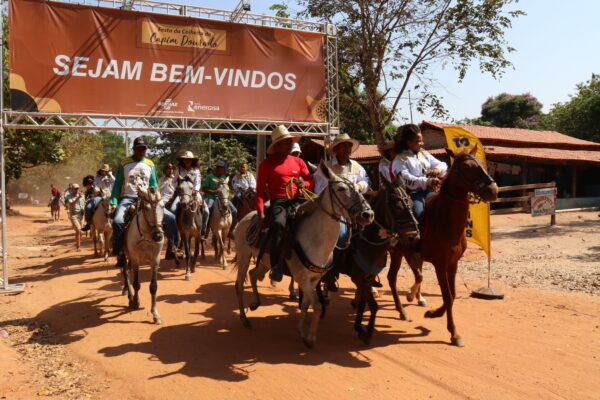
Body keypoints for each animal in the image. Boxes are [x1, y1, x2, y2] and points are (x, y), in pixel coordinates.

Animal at [121, 188, 165, 324]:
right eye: (146, 207)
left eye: (163, 206)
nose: (158, 236)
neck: (147, 236)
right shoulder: (136, 260)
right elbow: (136, 284)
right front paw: (136, 302)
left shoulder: (155, 260)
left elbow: (153, 287)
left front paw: (155, 314)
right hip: (124, 254)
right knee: (125, 272)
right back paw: (130, 297)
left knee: (127, 271)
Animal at [234, 162, 376, 346]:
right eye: (341, 189)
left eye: (358, 188)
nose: (368, 214)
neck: (316, 239)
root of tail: (246, 218)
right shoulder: (302, 278)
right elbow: (316, 306)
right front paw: (310, 337)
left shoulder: (314, 279)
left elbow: (306, 304)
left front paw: (302, 330)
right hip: (244, 256)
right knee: (239, 285)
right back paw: (244, 318)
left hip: (265, 262)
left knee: (253, 274)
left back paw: (255, 303)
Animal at [332, 175, 422, 344]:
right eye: (397, 205)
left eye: (411, 203)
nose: (413, 236)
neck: (367, 241)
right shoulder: (359, 278)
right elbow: (373, 306)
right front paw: (368, 332)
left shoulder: (368, 278)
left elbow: (363, 304)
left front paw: (359, 327)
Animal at [386, 147, 500, 346]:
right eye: (467, 167)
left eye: (480, 162)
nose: (493, 190)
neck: (446, 220)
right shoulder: (440, 264)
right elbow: (447, 296)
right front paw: (452, 332)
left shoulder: (453, 264)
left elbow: (452, 295)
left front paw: (434, 313)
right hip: (394, 252)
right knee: (390, 278)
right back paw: (400, 308)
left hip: (405, 254)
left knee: (407, 276)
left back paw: (410, 300)